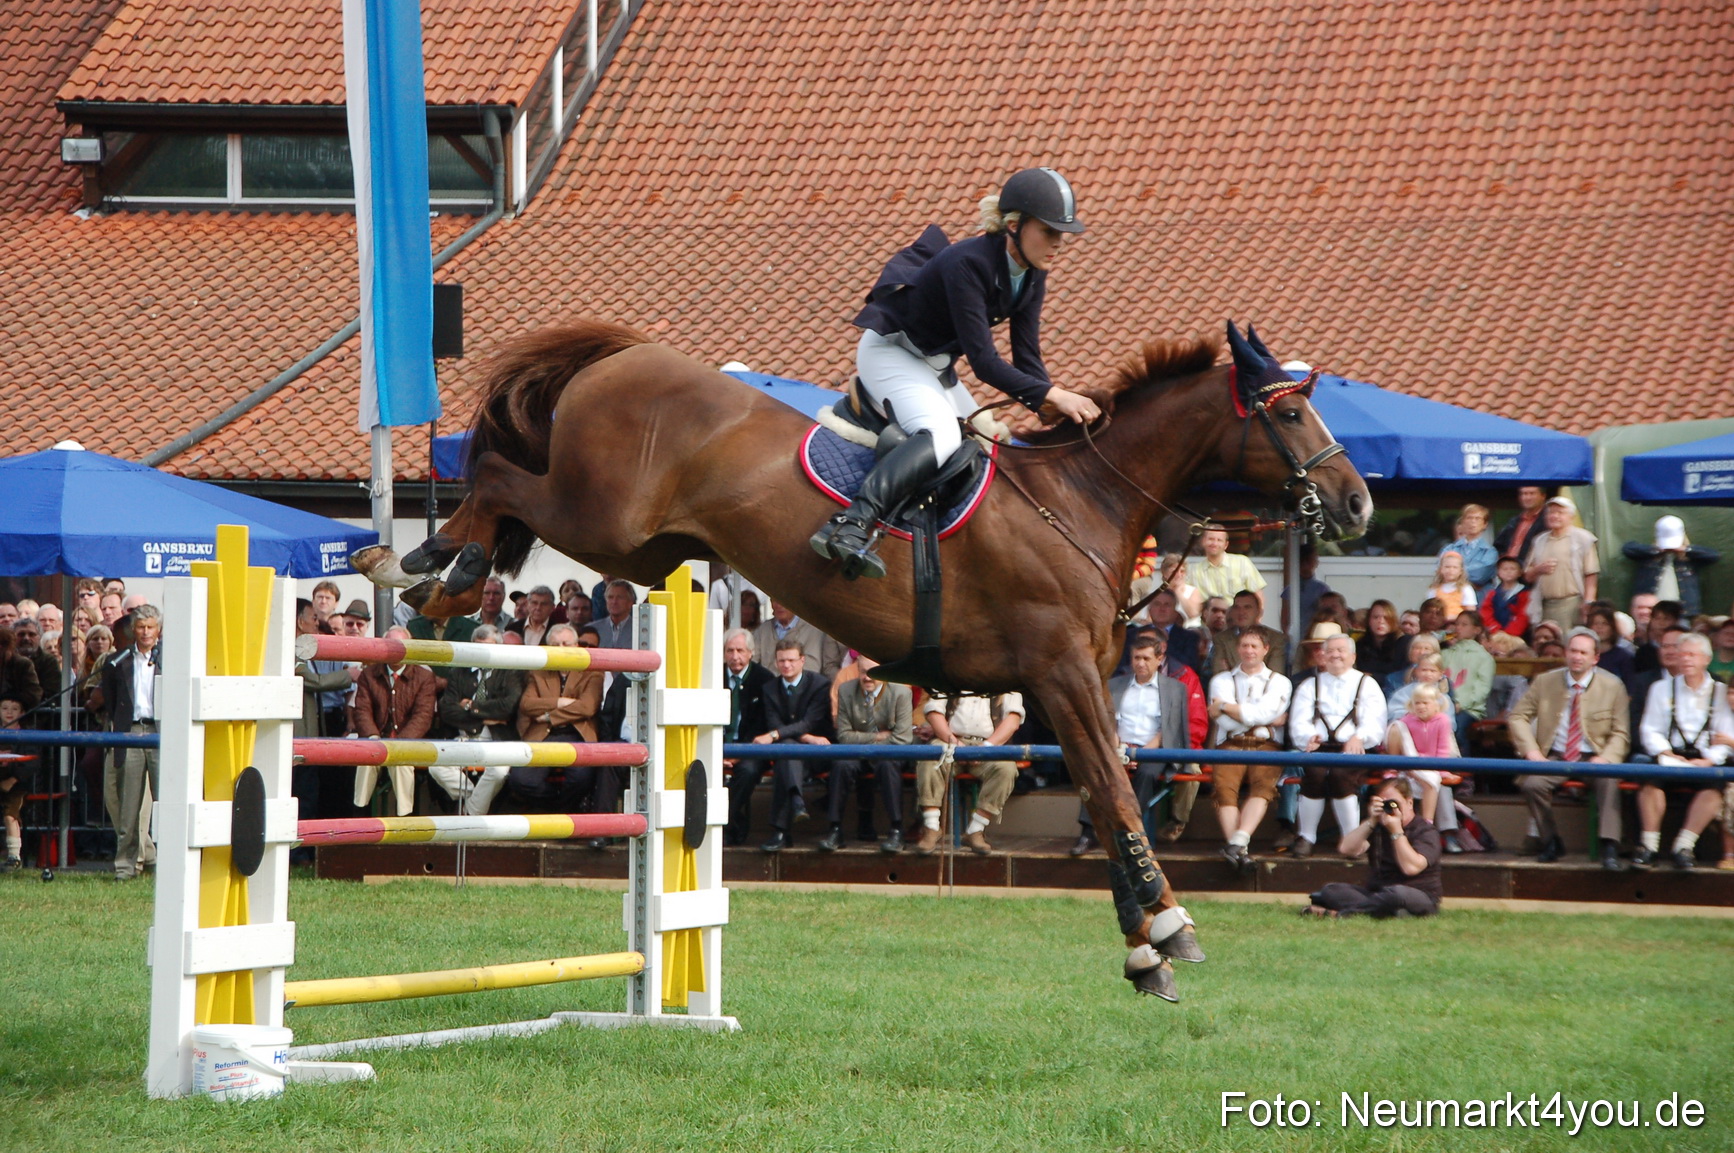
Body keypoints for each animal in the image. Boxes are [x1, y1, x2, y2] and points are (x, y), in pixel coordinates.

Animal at [353, 318, 1372, 1002]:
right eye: (1289, 409)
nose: (1358, 502)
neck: (1083, 498)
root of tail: (623, 354)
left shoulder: (1062, 686)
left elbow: (1104, 783)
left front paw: (1143, 947)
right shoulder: (1061, 674)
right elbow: (1116, 790)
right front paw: (1166, 926)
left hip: (639, 549)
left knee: (504, 499)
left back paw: (429, 577)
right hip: (599, 515)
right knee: (498, 478)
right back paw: (424, 567)